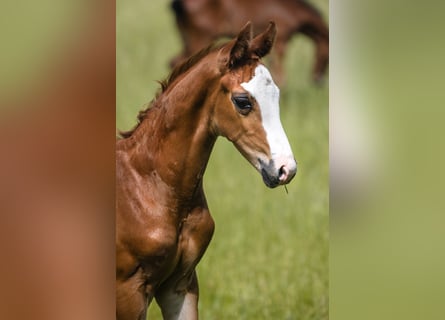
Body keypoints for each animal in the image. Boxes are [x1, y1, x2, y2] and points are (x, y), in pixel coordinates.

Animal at [172, 0, 328, 84]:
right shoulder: (281, 42)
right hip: (200, 38)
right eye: (327, 58)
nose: (318, 81)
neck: (292, 10)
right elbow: (281, 76)